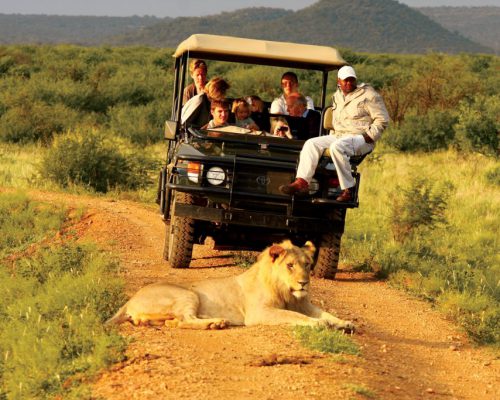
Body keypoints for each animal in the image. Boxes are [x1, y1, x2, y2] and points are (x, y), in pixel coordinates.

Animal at [106, 241, 356, 332]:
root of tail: (129, 299)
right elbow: (297, 317)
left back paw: (215, 322)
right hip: (188, 294)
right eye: (290, 265)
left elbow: (326, 313)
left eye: (307, 265)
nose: (304, 283)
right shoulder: (259, 313)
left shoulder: (304, 304)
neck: (287, 292)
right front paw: (320, 324)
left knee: (175, 322)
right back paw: (216, 323)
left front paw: (344, 323)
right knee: (185, 319)